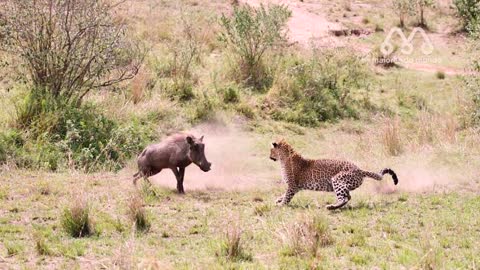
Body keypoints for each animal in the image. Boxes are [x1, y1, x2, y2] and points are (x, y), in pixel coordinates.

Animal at [270, 139, 398, 211]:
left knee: (344, 198)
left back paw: (331, 207)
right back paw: (334, 206)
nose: (269, 157)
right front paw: (278, 200)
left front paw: (280, 204)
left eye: (271, 151)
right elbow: (284, 194)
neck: (284, 158)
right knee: (348, 197)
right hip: (343, 184)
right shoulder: (296, 188)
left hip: (337, 179)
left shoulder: (292, 186)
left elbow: (287, 196)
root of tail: (359, 169)